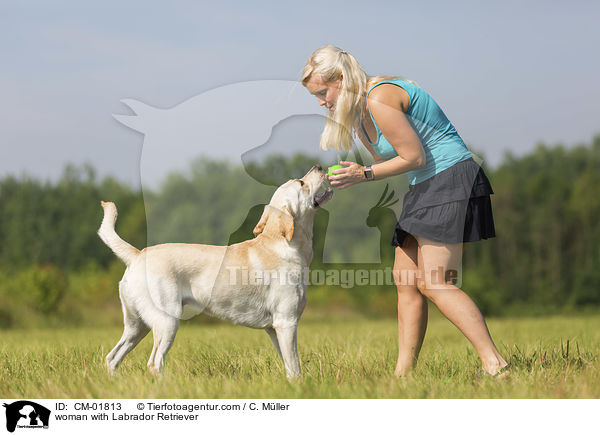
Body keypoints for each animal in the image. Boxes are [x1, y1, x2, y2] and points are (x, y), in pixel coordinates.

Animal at [98, 164, 332, 378]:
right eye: (301, 183)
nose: (319, 166)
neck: (283, 244)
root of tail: (137, 255)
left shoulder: (274, 329)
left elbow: (288, 365)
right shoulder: (286, 323)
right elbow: (295, 368)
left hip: (136, 326)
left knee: (112, 357)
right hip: (167, 321)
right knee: (155, 363)